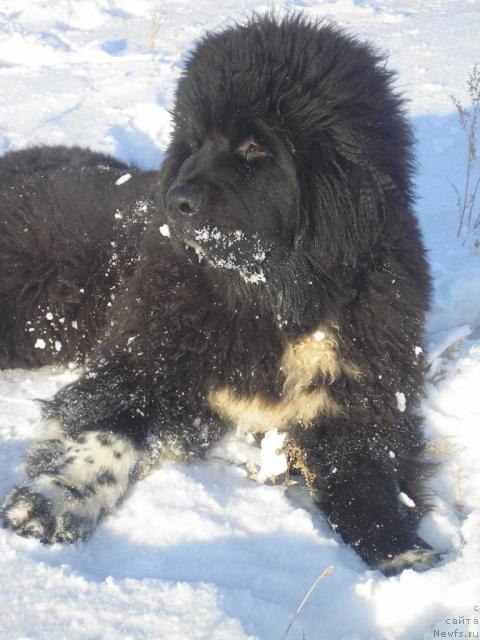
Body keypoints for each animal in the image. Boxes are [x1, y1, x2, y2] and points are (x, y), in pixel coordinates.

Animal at [0, 15, 436, 576]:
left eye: (254, 146)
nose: (174, 200)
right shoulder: (141, 359)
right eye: (195, 141)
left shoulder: (366, 398)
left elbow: (366, 476)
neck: (275, 297)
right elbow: (109, 429)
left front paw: (403, 552)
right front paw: (56, 499)